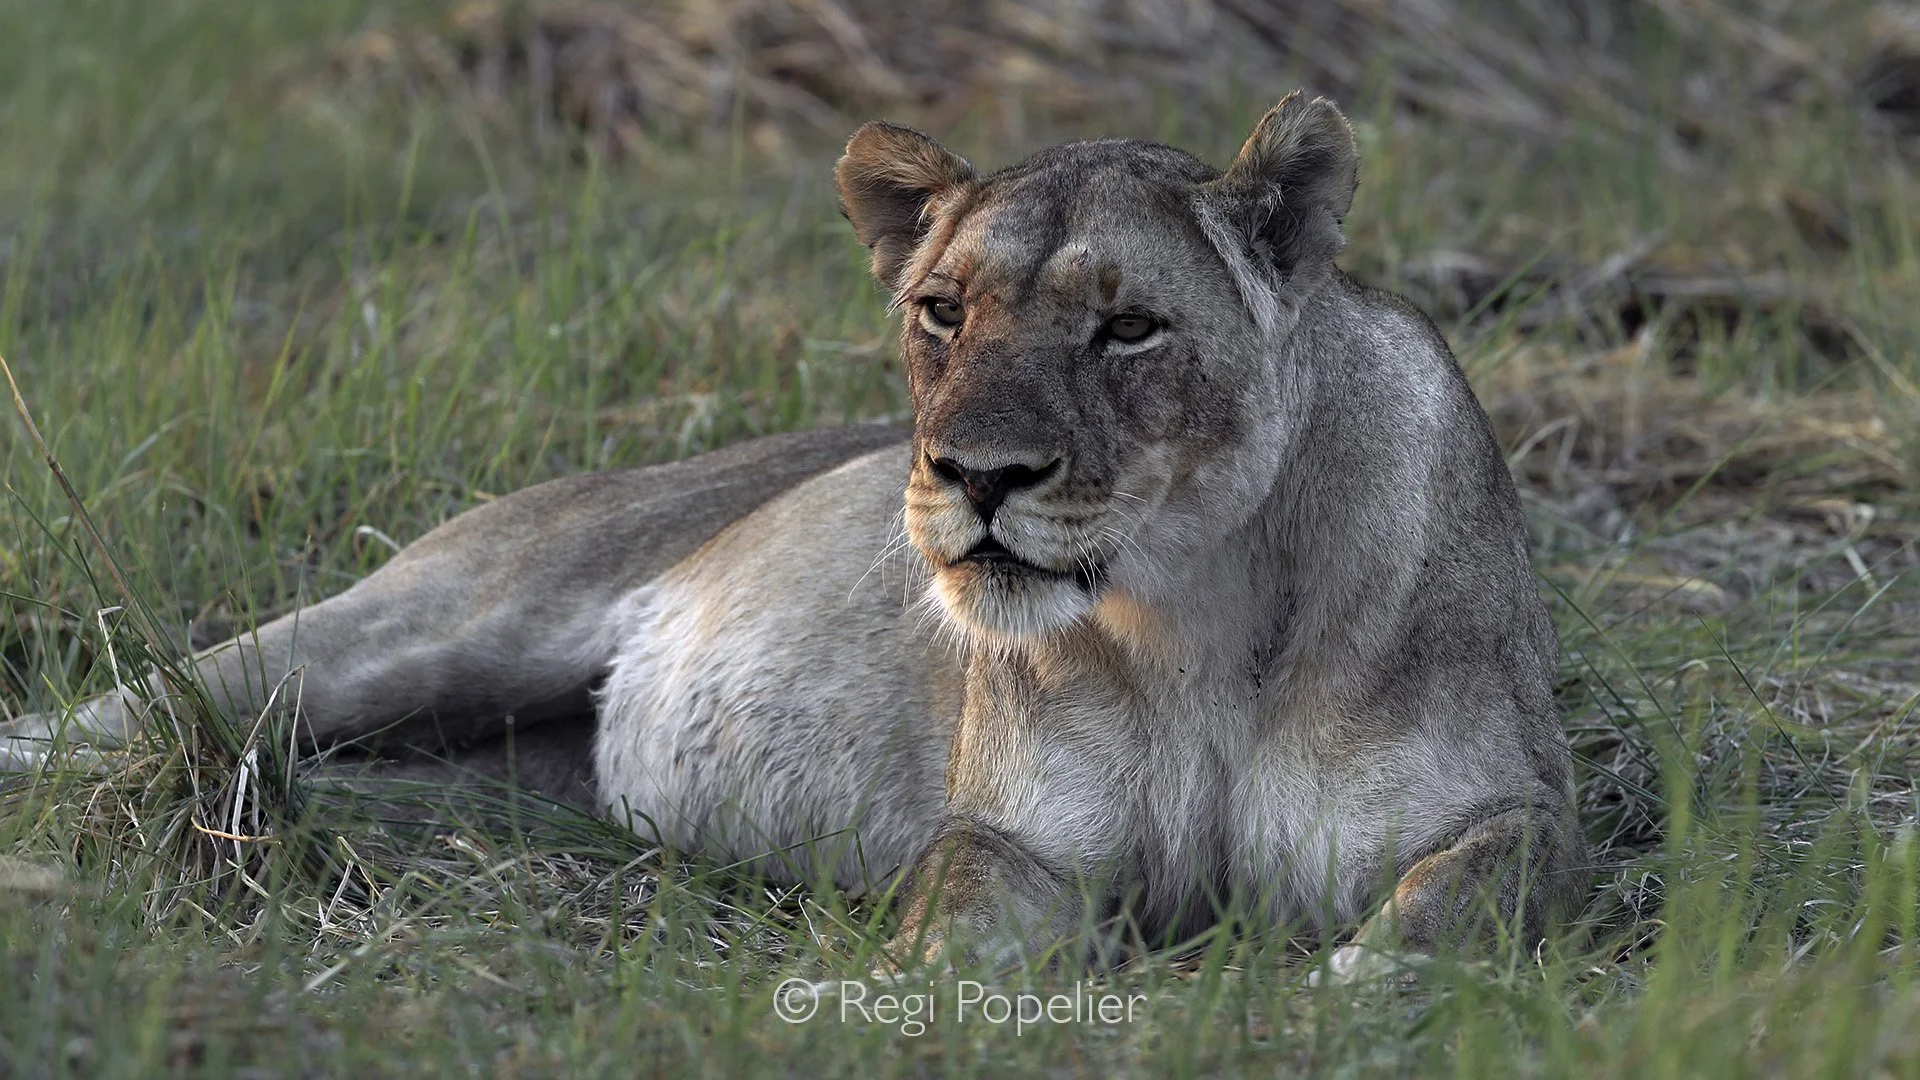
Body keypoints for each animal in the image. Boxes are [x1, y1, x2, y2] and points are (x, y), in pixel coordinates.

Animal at [3, 93, 1587, 981]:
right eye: (941, 310)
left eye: (1130, 327)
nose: (979, 476)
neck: (1191, 605)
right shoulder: (1013, 839)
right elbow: (950, 932)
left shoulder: (1510, 818)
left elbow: (1462, 904)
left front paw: (1359, 993)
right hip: (444, 616)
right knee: (145, 707)